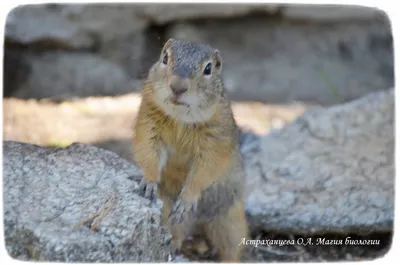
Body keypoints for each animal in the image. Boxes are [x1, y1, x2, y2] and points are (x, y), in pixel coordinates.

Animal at [133, 38, 248, 260]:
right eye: (165, 57)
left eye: (209, 68)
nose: (178, 87)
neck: (181, 119)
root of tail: (197, 227)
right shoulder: (149, 120)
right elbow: (148, 150)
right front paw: (149, 181)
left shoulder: (215, 141)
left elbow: (205, 171)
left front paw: (186, 200)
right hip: (168, 215)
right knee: (175, 235)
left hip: (230, 222)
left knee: (231, 250)